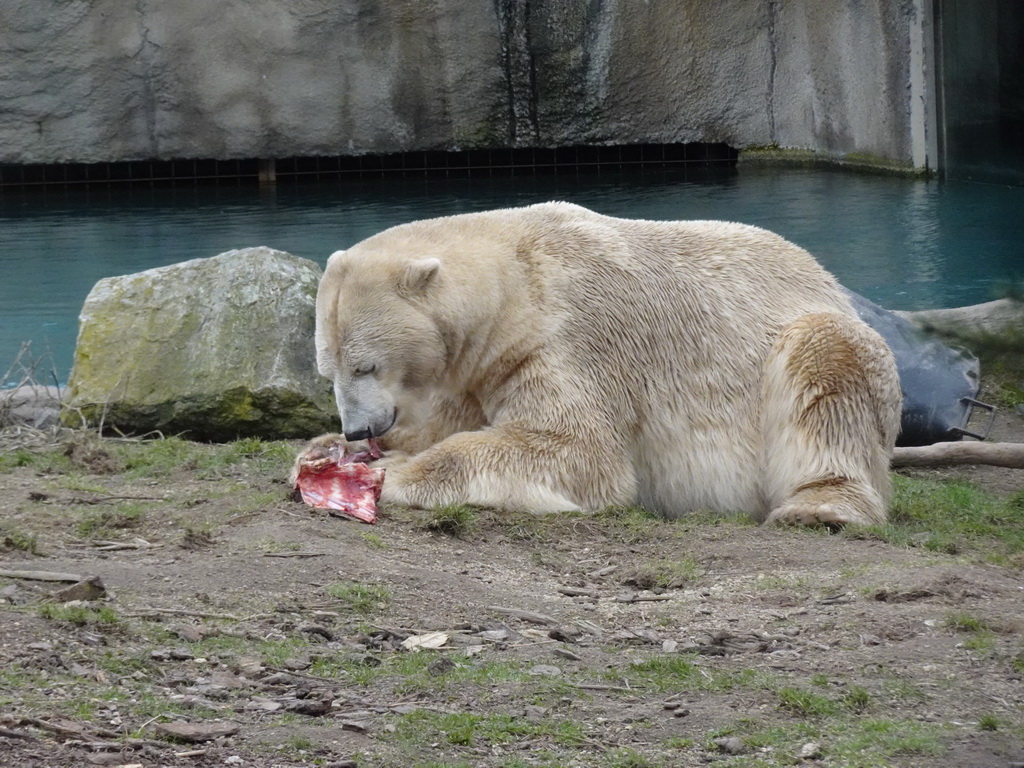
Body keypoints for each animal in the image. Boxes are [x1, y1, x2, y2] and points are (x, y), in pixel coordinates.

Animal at [299, 202, 901, 528]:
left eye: (366, 366)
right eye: (329, 370)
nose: (358, 429)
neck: (519, 282)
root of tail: (828, 279)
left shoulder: (575, 337)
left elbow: (578, 449)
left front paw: (394, 472)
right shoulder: (481, 366)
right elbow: (451, 420)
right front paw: (324, 450)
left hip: (815, 342)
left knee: (826, 366)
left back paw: (821, 507)